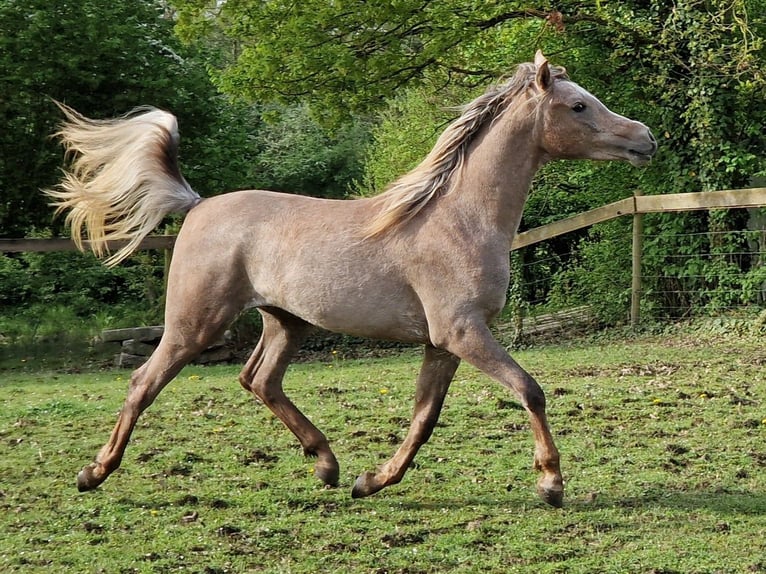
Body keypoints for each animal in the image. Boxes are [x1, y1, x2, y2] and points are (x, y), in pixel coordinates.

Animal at [49, 50, 660, 508]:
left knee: (260, 380)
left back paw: (327, 465)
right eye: (578, 105)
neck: (459, 218)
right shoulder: (463, 332)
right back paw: (93, 473)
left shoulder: (444, 343)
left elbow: (424, 418)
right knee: (143, 383)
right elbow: (528, 389)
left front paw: (373, 481)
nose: (646, 139)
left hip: (286, 321)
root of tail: (197, 205)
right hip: (194, 324)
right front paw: (551, 483)